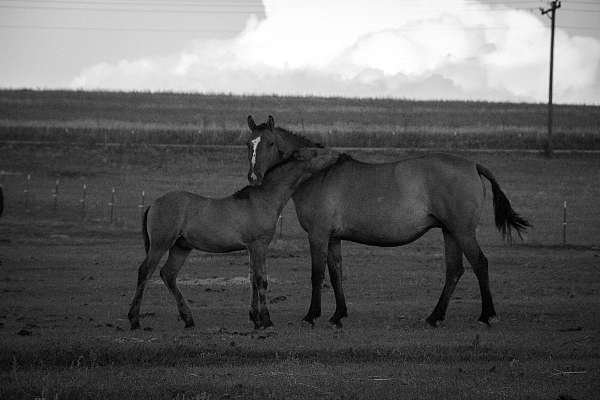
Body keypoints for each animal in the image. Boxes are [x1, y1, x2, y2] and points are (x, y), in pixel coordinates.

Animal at [127, 148, 340, 330]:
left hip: (181, 247)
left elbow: (253, 279)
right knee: (145, 271)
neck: (262, 200)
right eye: (315, 152)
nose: (337, 155)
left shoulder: (251, 248)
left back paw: (188, 319)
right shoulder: (259, 245)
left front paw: (256, 319)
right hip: (161, 244)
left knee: (168, 274)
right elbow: (261, 280)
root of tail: (153, 204)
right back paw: (135, 320)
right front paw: (266, 320)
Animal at [245, 115, 528, 328]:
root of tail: (472, 164)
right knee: (454, 271)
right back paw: (435, 317)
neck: (317, 173)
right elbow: (336, 273)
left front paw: (311, 315)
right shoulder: (333, 238)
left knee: (480, 264)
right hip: (450, 232)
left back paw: (487, 315)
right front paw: (338, 315)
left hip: (463, 232)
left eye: (270, 142)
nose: (253, 177)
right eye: (249, 144)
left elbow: (317, 275)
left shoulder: (318, 235)